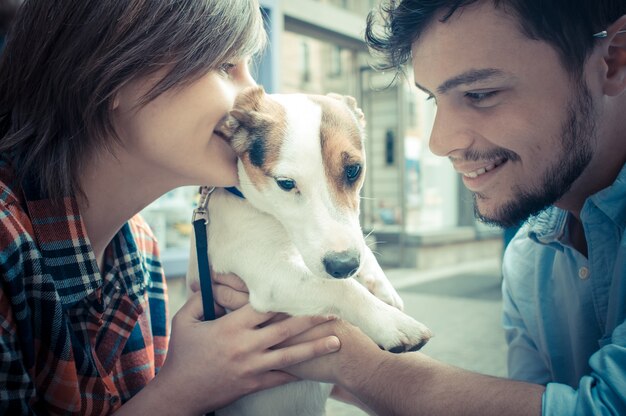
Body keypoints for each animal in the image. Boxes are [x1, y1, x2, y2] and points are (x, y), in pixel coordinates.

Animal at [185, 86, 428, 414]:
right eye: (286, 183)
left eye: (354, 170)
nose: (344, 266)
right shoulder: (272, 278)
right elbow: (341, 289)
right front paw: (391, 322)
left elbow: (361, 248)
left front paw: (383, 288)